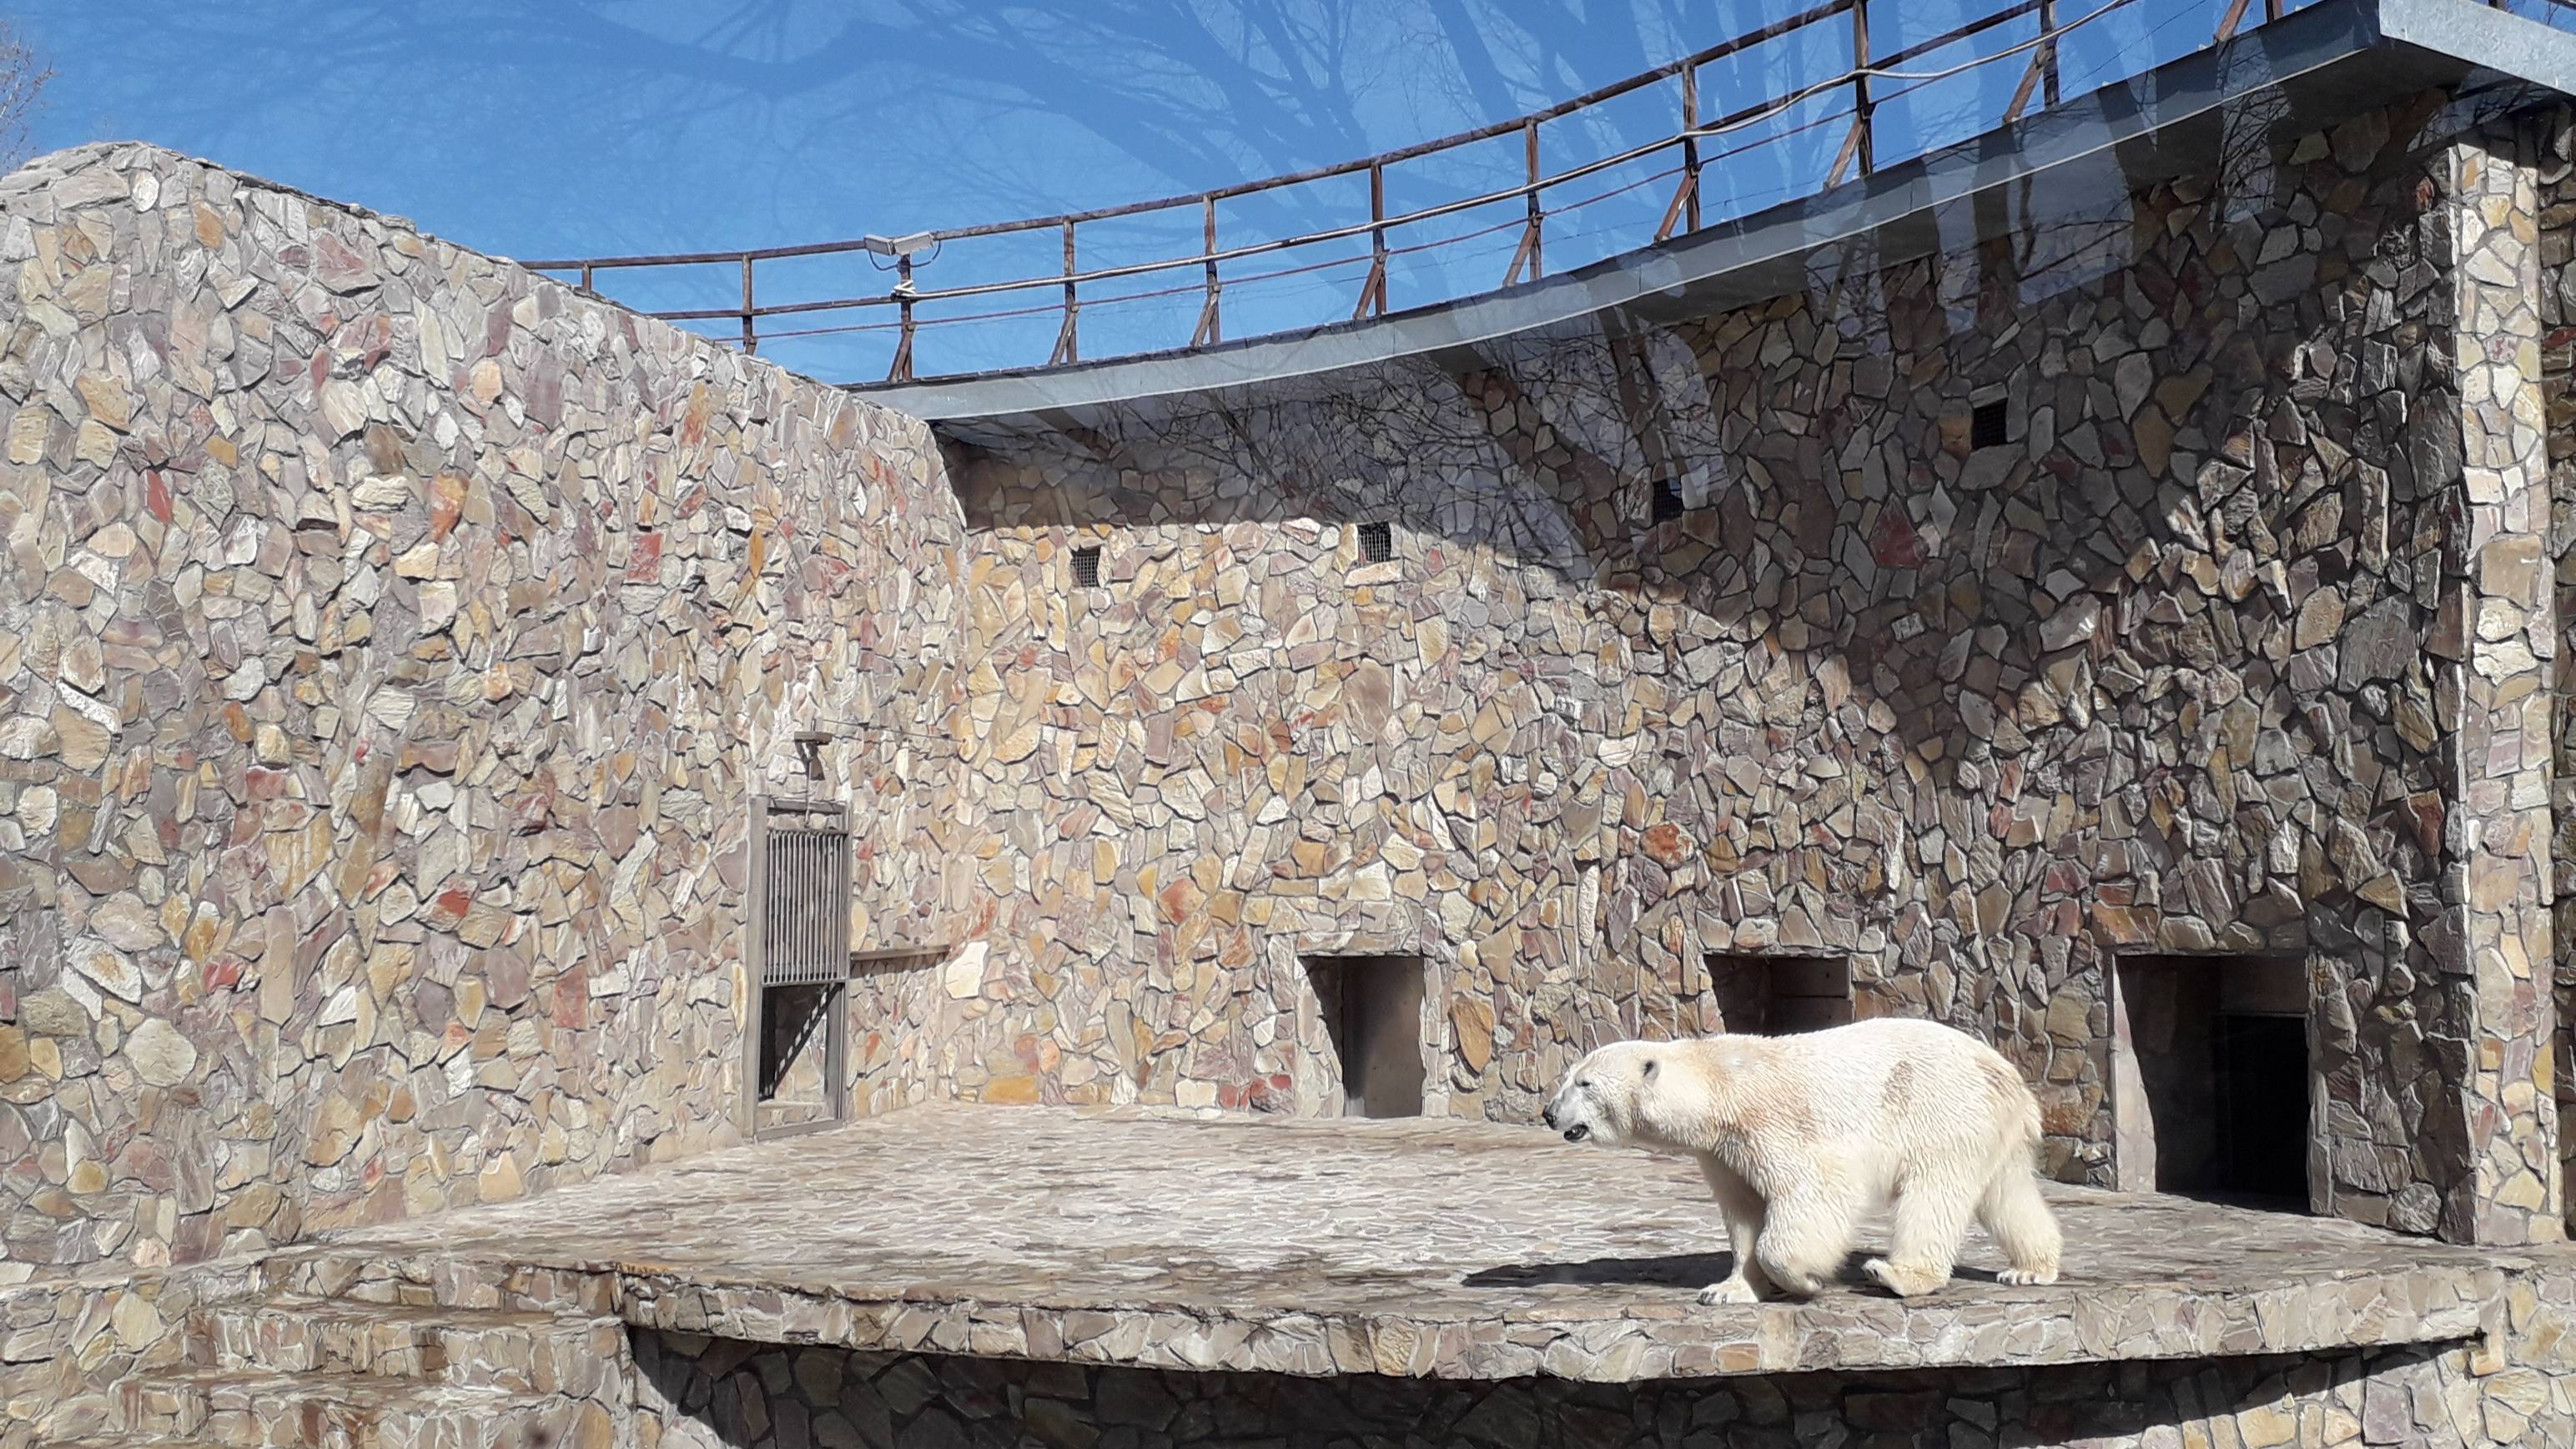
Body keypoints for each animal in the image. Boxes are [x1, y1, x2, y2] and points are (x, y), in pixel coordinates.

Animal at [1535, 1015, 2060, 1299]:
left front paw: (1805, 1281)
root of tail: (2010, 1076)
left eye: (1584, 1083)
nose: (1548, 1113)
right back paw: (2031, 1268)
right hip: (1989, 1128)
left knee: (1933, 1193)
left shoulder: (1772, 1125)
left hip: (1940, 1109)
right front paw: (1727, 1290)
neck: (1717, 1086)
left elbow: (1814, 1192)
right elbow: (1743, 1212)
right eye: (1570, 1076)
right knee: (2007, 1194)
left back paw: (1897, 1274)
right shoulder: (1723, 1152)